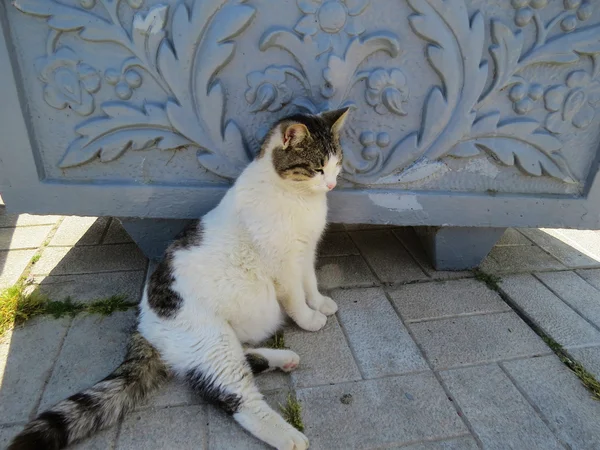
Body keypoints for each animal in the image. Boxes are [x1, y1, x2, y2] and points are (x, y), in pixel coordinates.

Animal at [9, 108, 350, 450]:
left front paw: (320, 303)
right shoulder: (283, 264)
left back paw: (284, 358)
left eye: (337, 163)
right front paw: (309, 318)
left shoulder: (306, 251)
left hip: (219, 341)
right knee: (235, 397)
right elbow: (295, 297)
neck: (295, 196)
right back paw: (289, 436)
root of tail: (144, 323)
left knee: (236, 360)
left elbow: (310, 283)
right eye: (318, 168)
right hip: (213, 342)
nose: (332, 184)